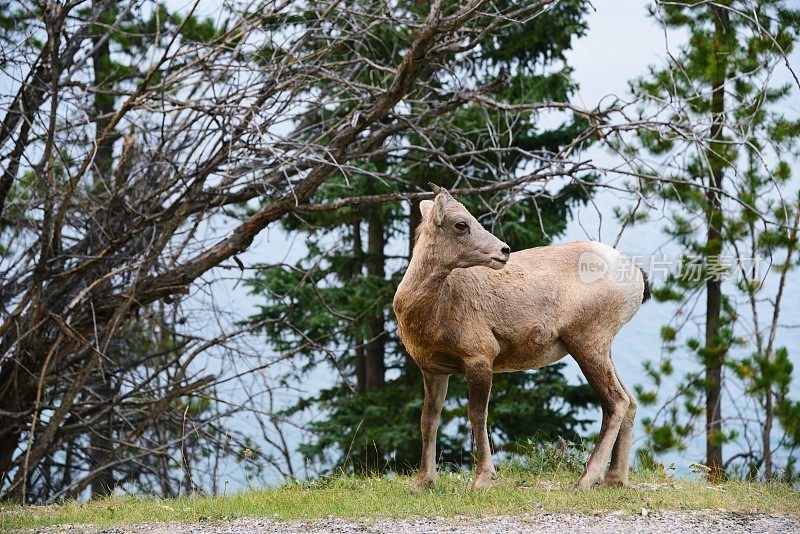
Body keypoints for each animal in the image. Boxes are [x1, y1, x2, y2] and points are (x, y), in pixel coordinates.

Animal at [394, 184, 648, 494]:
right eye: (461, 224)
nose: (504, 251)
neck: (433, 308)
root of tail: (636, 276)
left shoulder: (479, 359)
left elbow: (477, 415)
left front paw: (482, 480)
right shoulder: (433, 369)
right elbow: (428, 420)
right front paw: (422, 484)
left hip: (587, 344)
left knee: (616, 402)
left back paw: (586, 480)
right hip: (603, 349)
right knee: (630, 401)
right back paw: (614, 479)